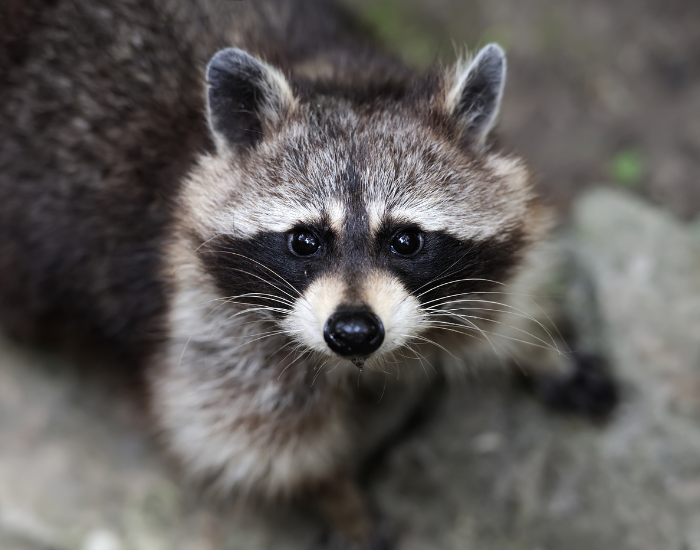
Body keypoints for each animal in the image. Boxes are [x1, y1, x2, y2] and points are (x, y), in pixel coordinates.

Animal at [0, 0, 617, 548]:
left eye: (406, 240)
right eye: (305, 241)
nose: (354, 332)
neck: (340, 77)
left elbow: (502, 293)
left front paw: (539, 348)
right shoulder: (200, 313)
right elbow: (250, 440)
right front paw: (337, 497)